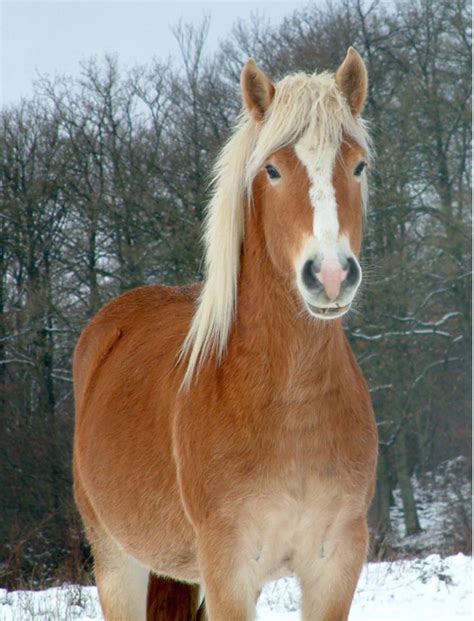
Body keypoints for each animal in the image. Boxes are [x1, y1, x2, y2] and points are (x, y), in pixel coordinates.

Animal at [73, 48, 378, 620]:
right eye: (273, 169)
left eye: (358, 165)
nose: (330, 274)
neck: (288, 407)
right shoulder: (227, 570)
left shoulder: (336, 563)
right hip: (117, 562)